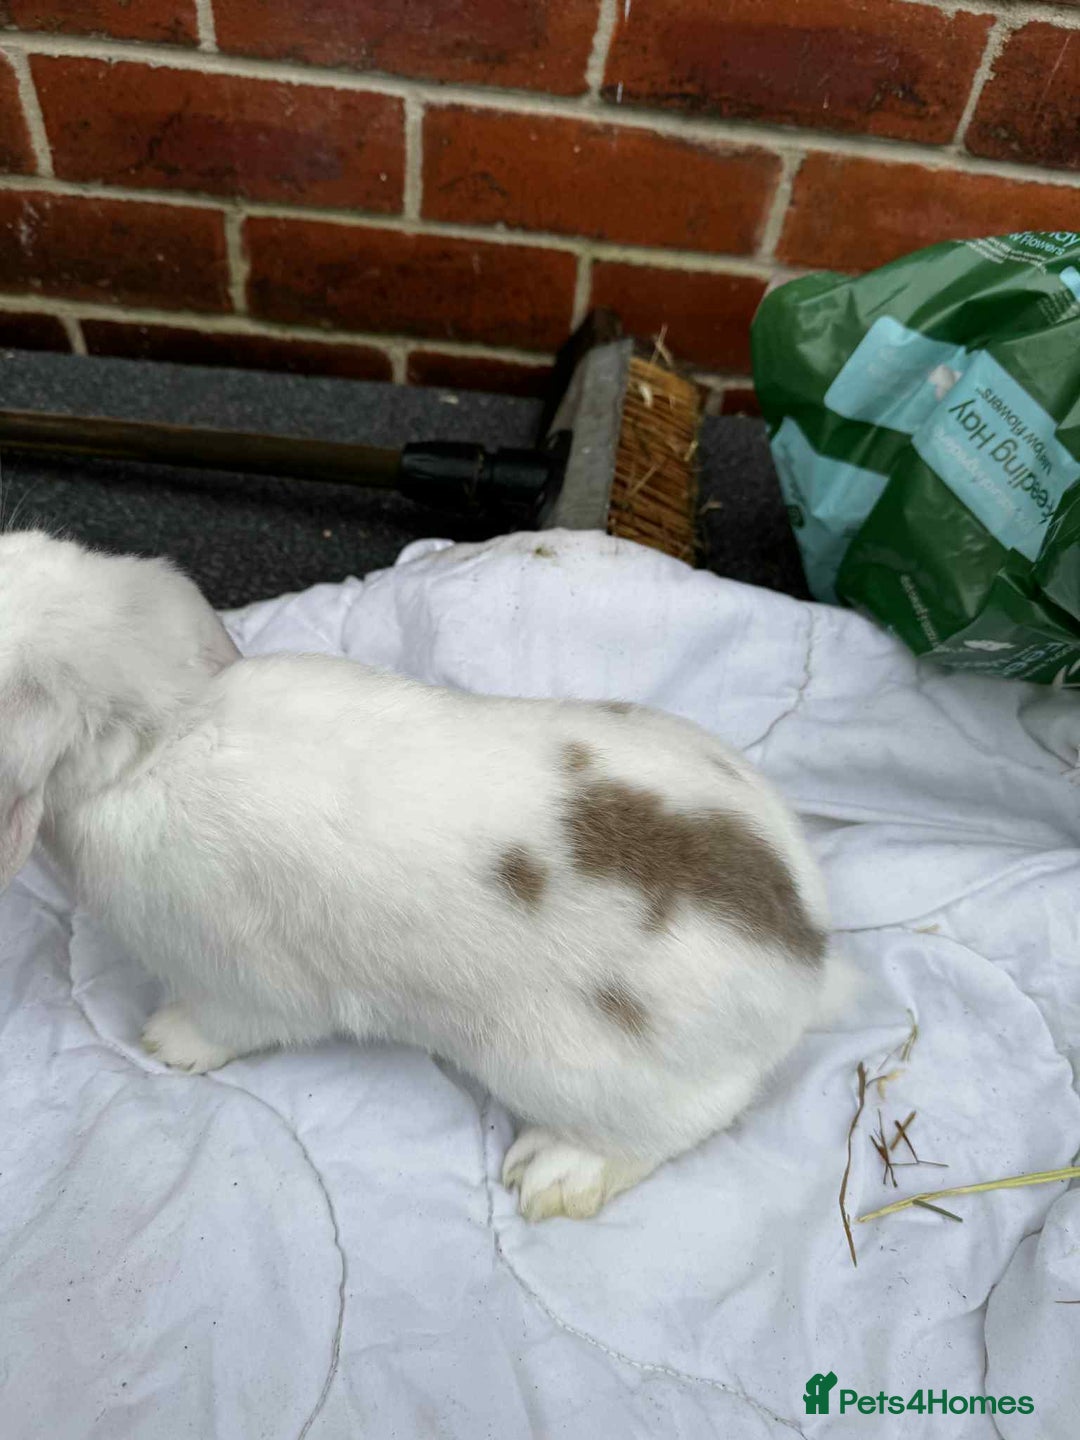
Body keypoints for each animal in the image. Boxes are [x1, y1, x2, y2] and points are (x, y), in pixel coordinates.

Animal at [0, 530, 851, 1221]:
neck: (165, 735)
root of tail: (807, 960)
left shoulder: (235, 979)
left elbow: (227, 1025)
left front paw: (165, 1043)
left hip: (571, 1071)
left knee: (689, 1120)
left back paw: (556, 1173)